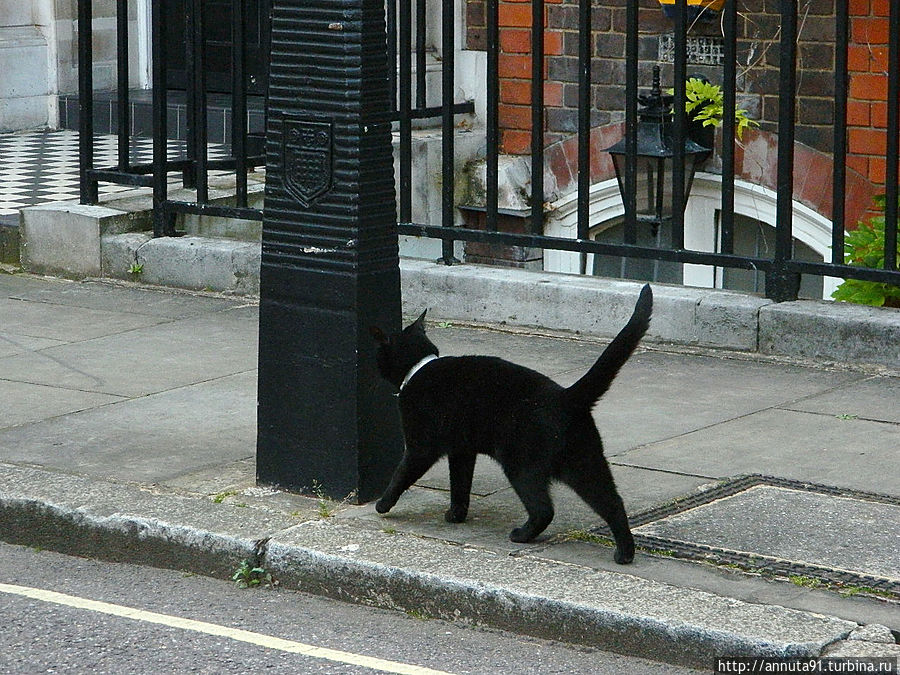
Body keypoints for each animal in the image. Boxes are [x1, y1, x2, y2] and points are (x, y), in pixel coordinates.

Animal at [368, 286, 652, 564]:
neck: (419, 368)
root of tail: (565, 396)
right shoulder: (462, 451)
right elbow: (460, 484)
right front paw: (456, 514)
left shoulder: (421, 448)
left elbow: (401, 474)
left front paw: (383, 504)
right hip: (585, 464)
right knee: (613, 503)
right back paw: (625, 553)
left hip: (521, 466)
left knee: (544, 509)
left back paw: (521, 535)